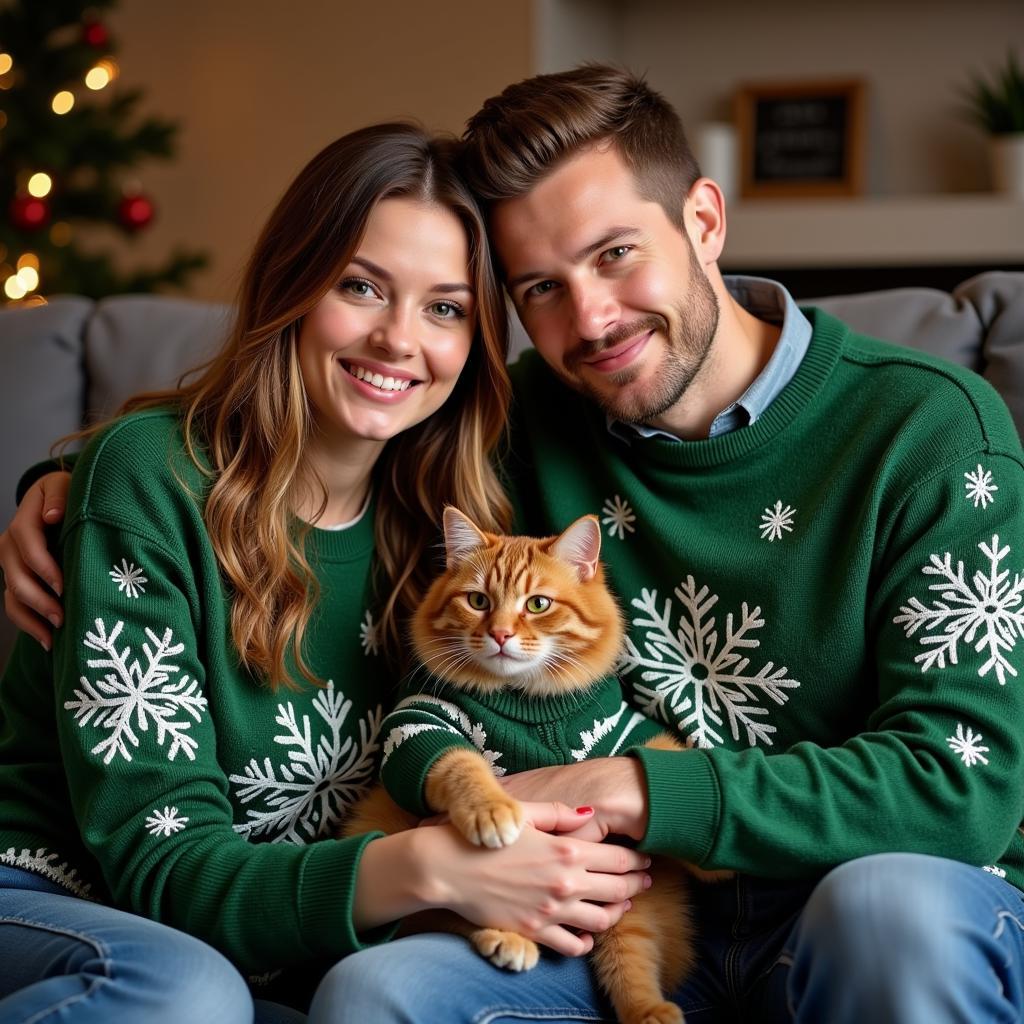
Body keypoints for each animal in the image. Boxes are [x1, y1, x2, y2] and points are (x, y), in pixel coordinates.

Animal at [339, 512, 724, 1024]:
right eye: (478, 601)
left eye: (538, 604)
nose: (500, 634)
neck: (532, 703)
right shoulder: (420, 723)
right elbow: (462, 763)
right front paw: (491, 810)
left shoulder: (622, 731)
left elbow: (666, 753)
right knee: (455, 915)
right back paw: (507, 938)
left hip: (631, 907)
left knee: (629, 952)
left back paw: (646, 1008)